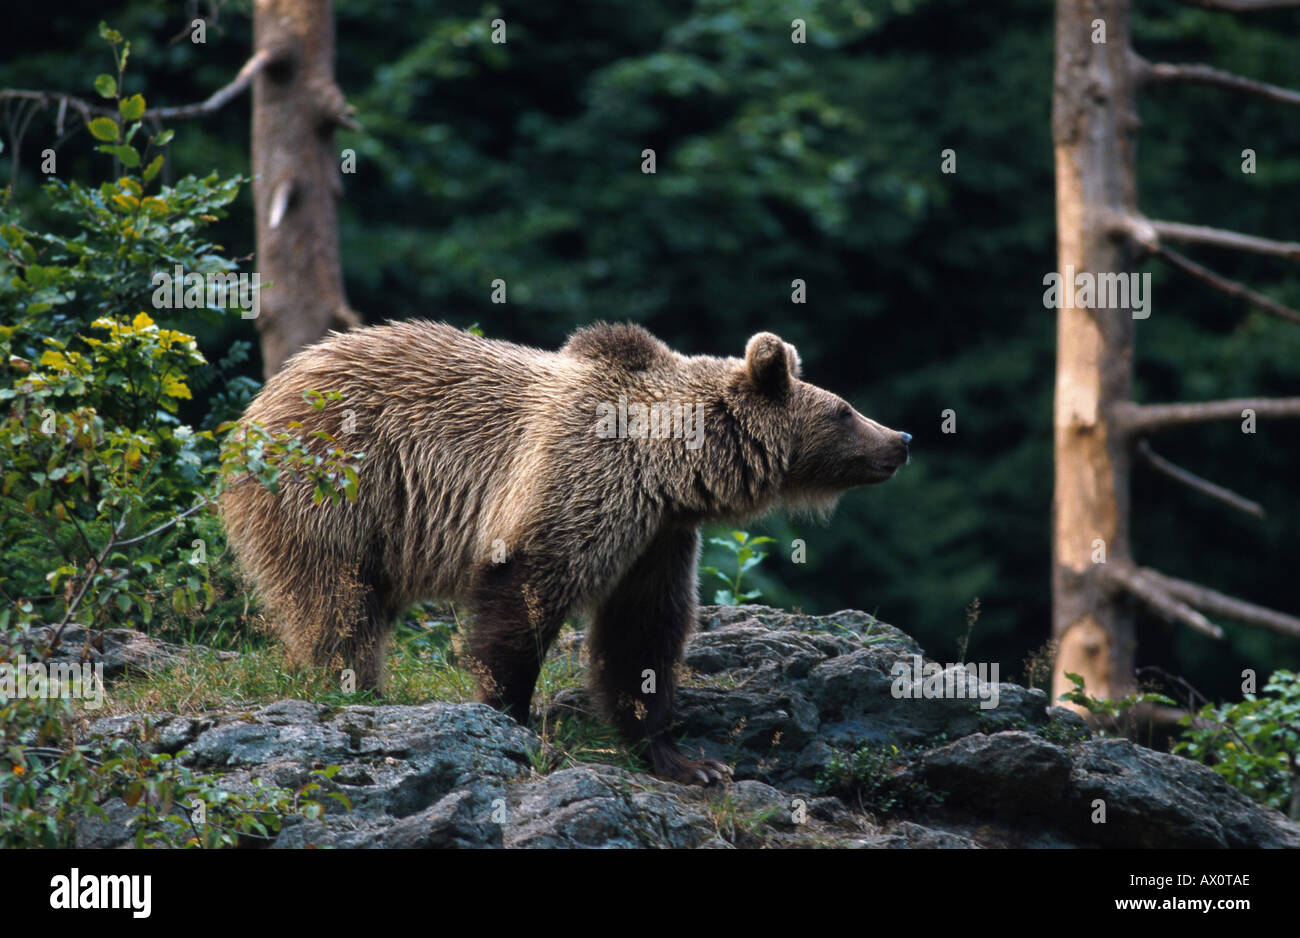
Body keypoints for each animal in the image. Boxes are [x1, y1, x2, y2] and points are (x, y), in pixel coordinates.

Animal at [220, 321, 910, 784]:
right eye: (844, 409)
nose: (901, 437)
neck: (668, 467)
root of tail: (264, 396)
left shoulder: (657, 537)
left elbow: (643, 633)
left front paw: (682, 758)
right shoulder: (575, 482)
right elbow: (525, 598)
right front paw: (509, 716)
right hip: (333, 482)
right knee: (336, 600)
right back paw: (355, 687)